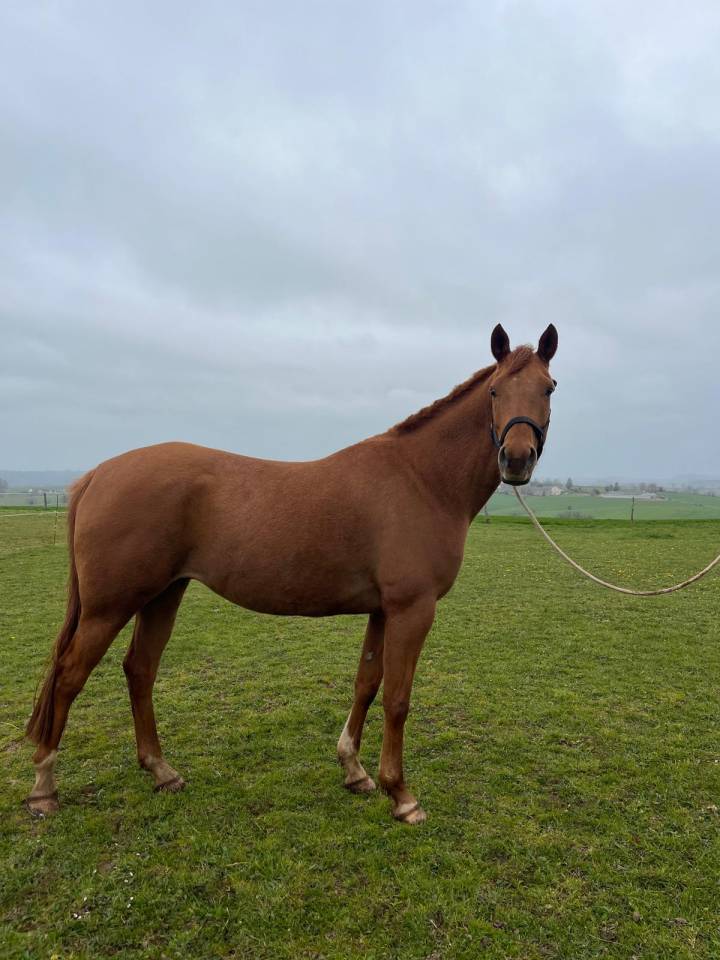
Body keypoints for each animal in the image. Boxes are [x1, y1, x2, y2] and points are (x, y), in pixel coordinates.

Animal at [26, 323, 558, 823]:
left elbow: (366, 684)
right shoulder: (412, 609)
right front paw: (402, 795)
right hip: (109, 606)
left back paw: (161, 771)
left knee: (139, 670)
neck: (420, 480)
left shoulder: (382, 611)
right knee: (70, 676)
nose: (516, 458)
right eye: (495, 391)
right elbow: (397, 698)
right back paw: (44, 788)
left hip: (163, 595)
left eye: (549, 387)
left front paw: (354, 770)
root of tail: (99, 474)